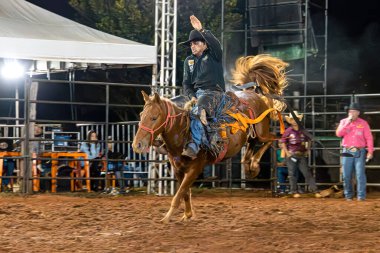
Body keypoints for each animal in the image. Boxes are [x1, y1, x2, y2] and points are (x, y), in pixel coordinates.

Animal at [132, 54, 286, 222]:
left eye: (154, 117)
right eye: (141, 115)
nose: (137, 144)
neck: (184, 132)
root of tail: (253, 93)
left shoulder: (196, 168)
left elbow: (180, 193)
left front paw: (167, 218)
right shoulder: (178, 169)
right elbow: (184, 192)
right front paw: (187, 215)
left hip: (262, 131)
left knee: (273, 139)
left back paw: (255, 164)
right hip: (253, 135)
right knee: (251, 148)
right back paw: (249, 168)